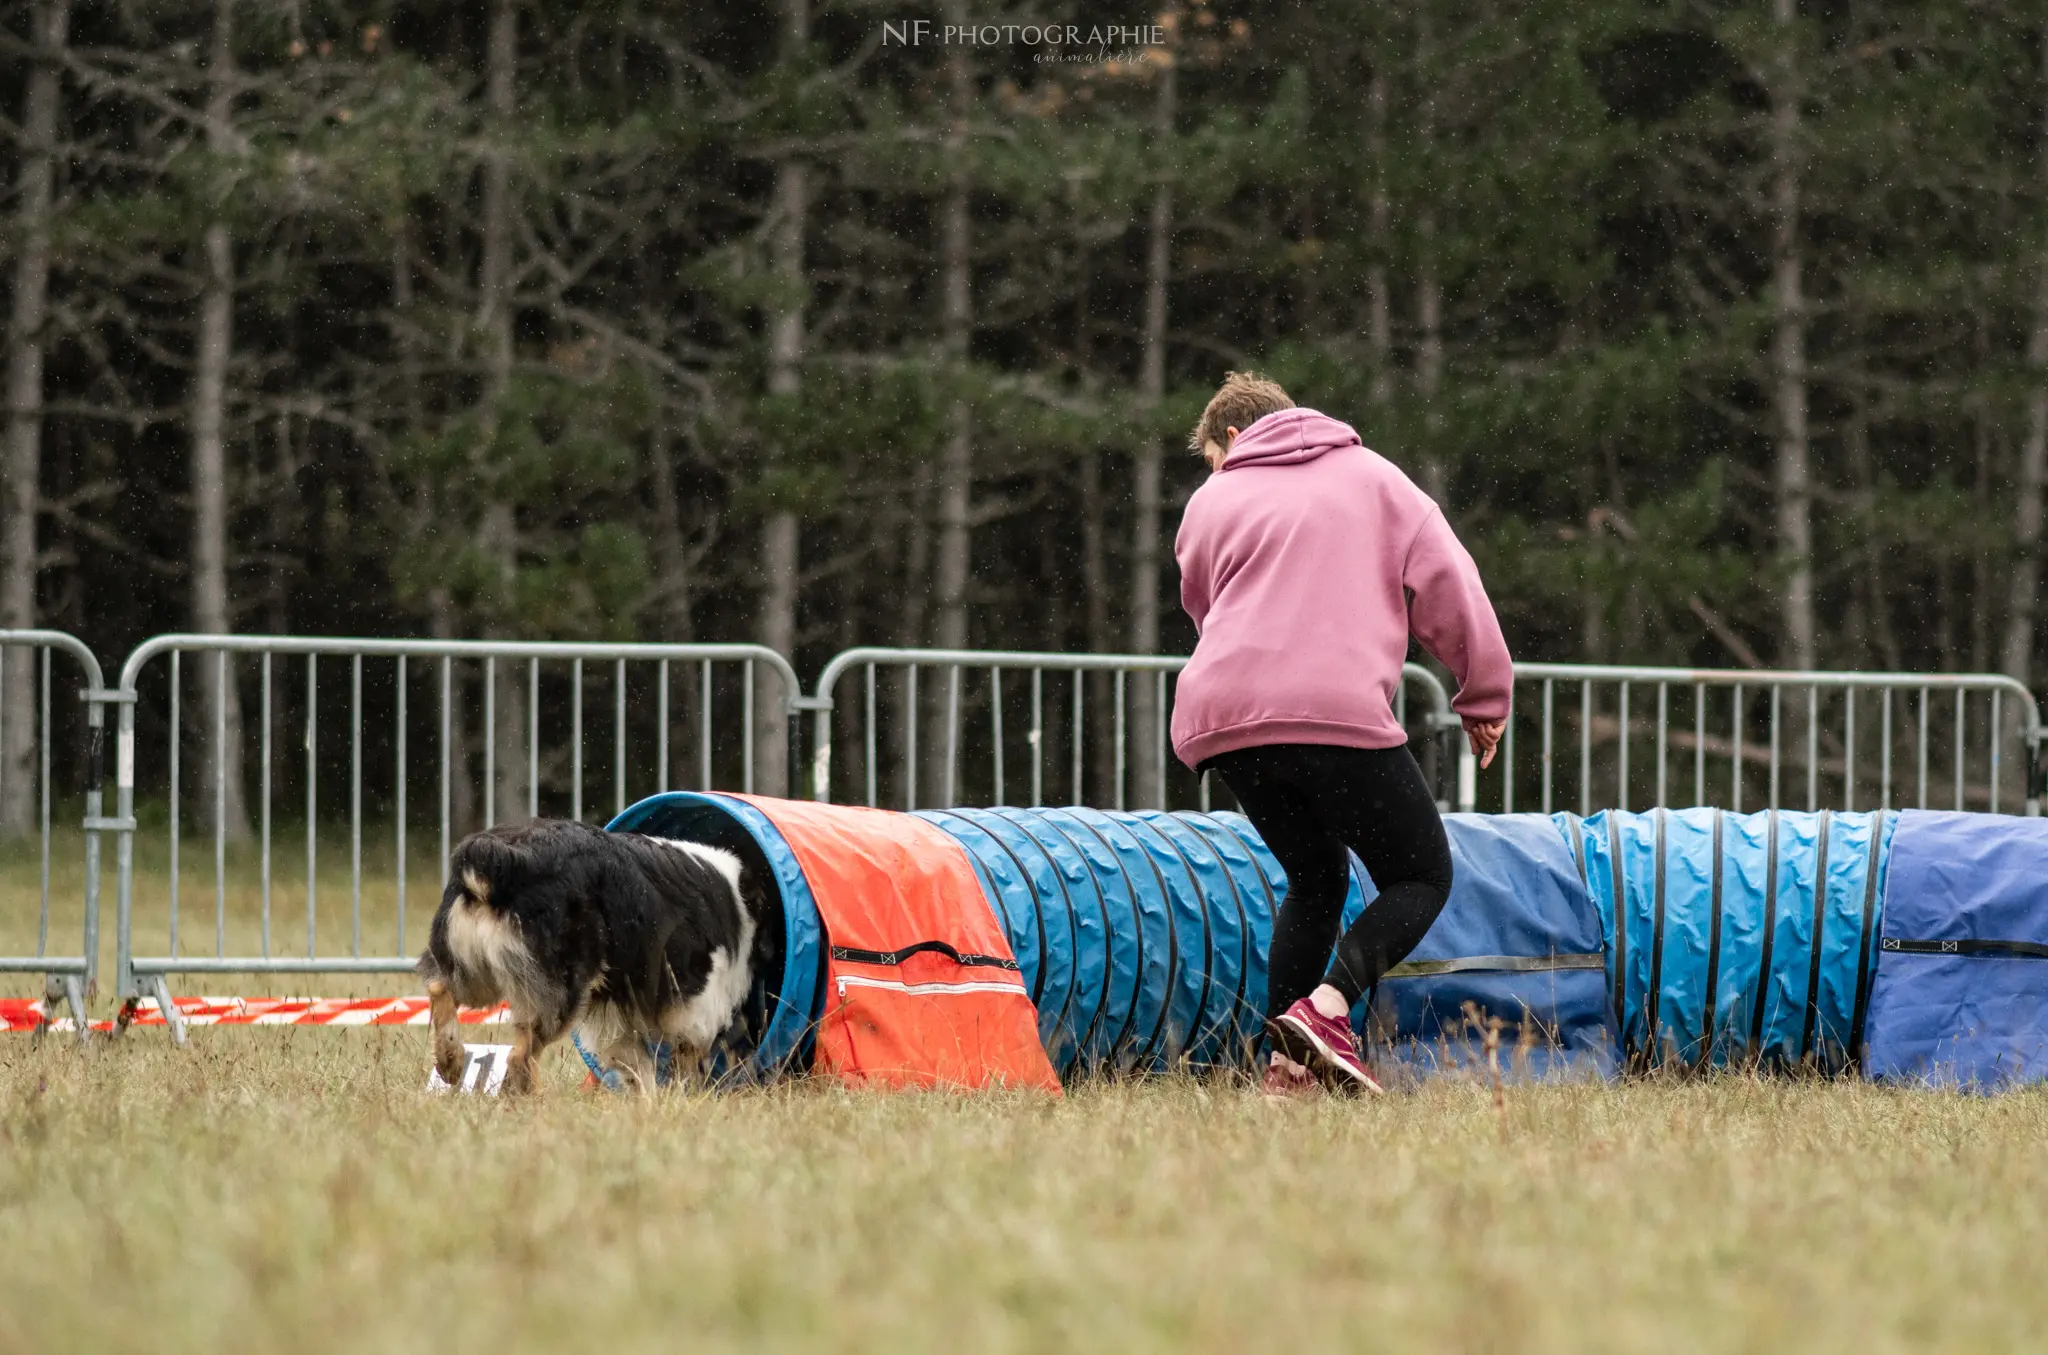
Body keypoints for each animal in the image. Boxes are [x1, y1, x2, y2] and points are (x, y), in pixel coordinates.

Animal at [415, 822, 774, 1097]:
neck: (738, 896)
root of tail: (498, 859)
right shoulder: (695, 995)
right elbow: (687, 1049)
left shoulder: (614, 1009)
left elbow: (635, 1063)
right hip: (560, 988)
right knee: (520, 1056)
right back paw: (534, 1101)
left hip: (470, 971)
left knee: (439, 990)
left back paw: (451, 1062)